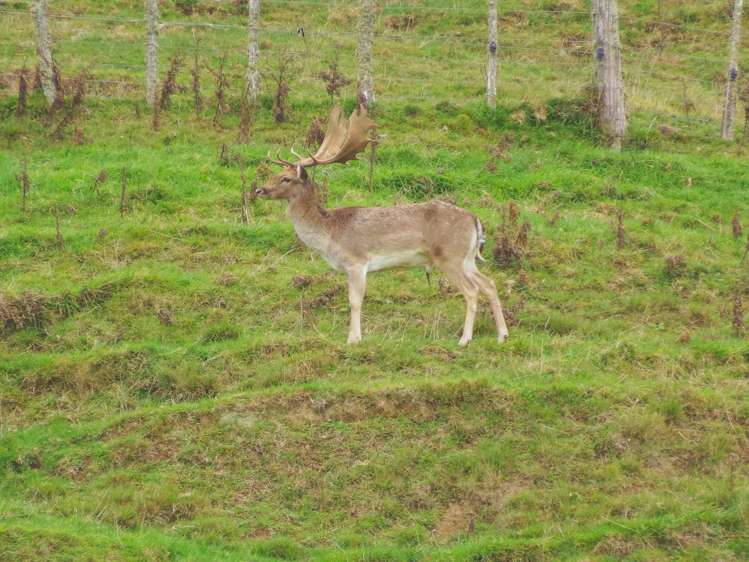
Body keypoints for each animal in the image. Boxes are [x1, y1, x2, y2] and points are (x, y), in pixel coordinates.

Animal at [258, 103, 508, 344]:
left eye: (286, 178)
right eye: (276, 173)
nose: (259, 189)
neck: (328, 235)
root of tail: (475, 220)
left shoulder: (357, 261)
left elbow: (355, 300)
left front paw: (354, 339)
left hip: (449, 256)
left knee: (472, 290)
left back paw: (465, 339)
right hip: (467, 258)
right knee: (489, 283)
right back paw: (502, 335)